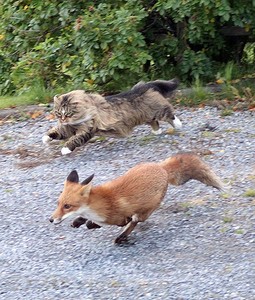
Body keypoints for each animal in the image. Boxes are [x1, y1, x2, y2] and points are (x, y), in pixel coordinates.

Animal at [42, 78, 181, 155]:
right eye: (58, 113)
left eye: (68, 113)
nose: (62, 119)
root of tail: (143, 86)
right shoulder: (68, 128)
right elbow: (56, 132)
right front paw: (46, 138)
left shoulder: (87, 129)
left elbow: (74, 139)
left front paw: (65, 149)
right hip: (146, 115)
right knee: (154, 122)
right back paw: (157, 132)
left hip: (158, 110)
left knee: (169, 113)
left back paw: (178, 124)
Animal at [49, 152, 223, 244]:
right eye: (58, 203)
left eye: (67, 206)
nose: (51, 220)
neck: (101, 204)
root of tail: (161, 168)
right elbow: (86, 220)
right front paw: (79, 221)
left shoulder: (120, 218)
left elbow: (117, 222)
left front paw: (90, 223)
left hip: (146, 211)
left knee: (135, 221)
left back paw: (122, 237)